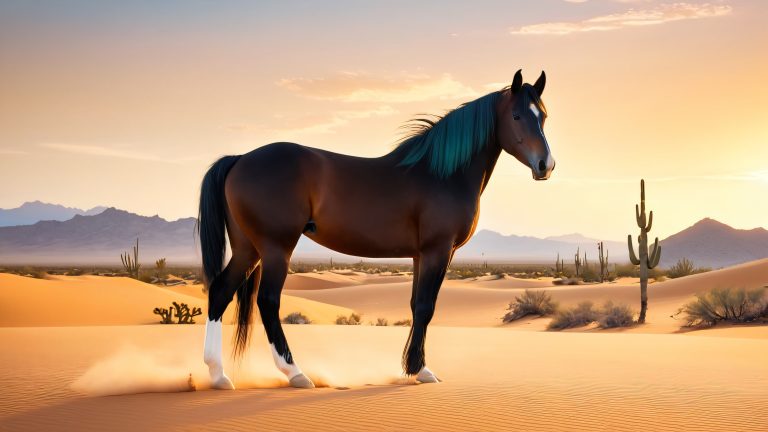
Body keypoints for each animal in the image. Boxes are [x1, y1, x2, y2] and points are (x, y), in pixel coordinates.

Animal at [198, 70, 555, 389]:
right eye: (517, 115)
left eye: (544, 116)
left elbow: (415, 305)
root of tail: (241, 158)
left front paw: (411, 367)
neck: (441, 173)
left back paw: (218, 376)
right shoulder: (439, 250)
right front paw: (421, 371)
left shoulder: (420, 255)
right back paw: (295, 374)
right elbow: (426, 307)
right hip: (276, 247)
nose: (546, 166)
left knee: (220, 292)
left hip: (249, 248)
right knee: (268, 301)